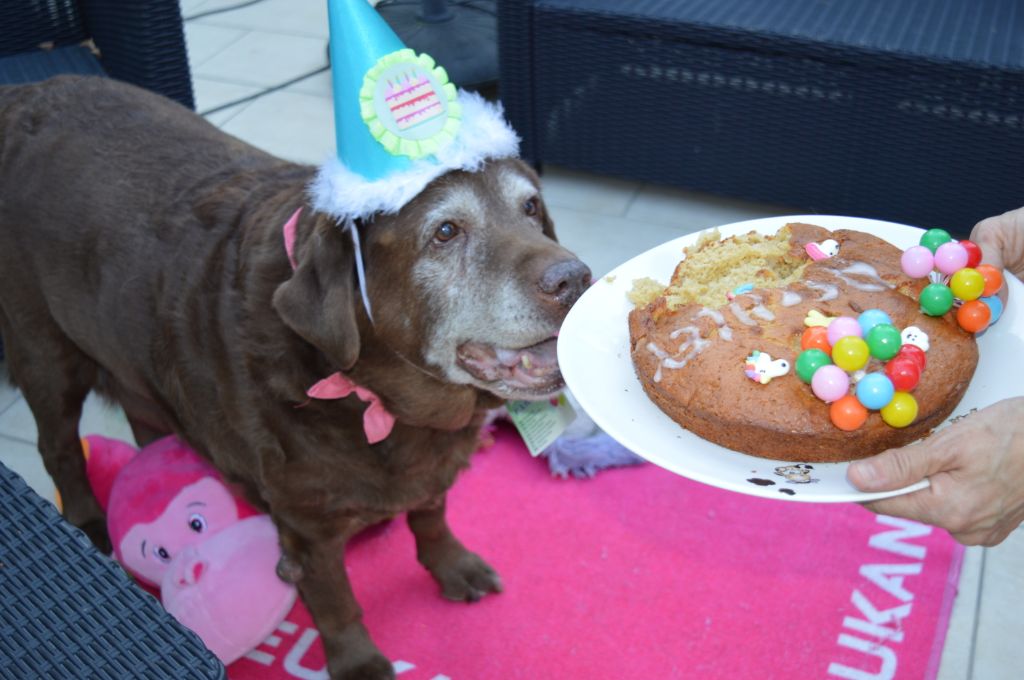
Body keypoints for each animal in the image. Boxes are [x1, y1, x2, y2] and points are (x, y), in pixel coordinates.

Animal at [0, 75, 589, 680]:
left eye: (531, 207)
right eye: (445, 232)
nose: (576, 279)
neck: (379, 400)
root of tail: (26, 90)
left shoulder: (430, 471)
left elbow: (430, 515)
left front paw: (450, 565)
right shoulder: (307, 529)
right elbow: (335, 602)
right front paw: (358, 663)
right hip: (45, 355)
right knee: (59, 450)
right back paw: (89, 520)